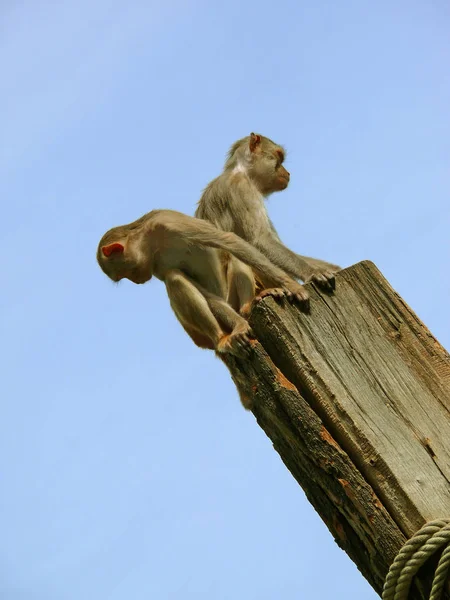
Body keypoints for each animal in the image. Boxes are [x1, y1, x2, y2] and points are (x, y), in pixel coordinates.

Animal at [97, 209, 310, 358]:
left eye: (126, 273)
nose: (137, 281)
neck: (148, 239)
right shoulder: (155, 263)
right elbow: (200, 290)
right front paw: (240, 326)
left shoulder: (170, 222)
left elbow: (229, 240)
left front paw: (292, 285)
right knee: (175, 278)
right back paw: (222, 338)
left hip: (229, 297)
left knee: (232, 252)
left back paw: (248, 306)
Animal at [195, 133, 340, 316]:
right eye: (279, 157)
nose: (288, 172)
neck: (242, 172)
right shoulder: (242, 189)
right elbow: (260, 240)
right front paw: (313, 273)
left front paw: (332, 268)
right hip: (229, 300)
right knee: (237, 253)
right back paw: (249, 306)